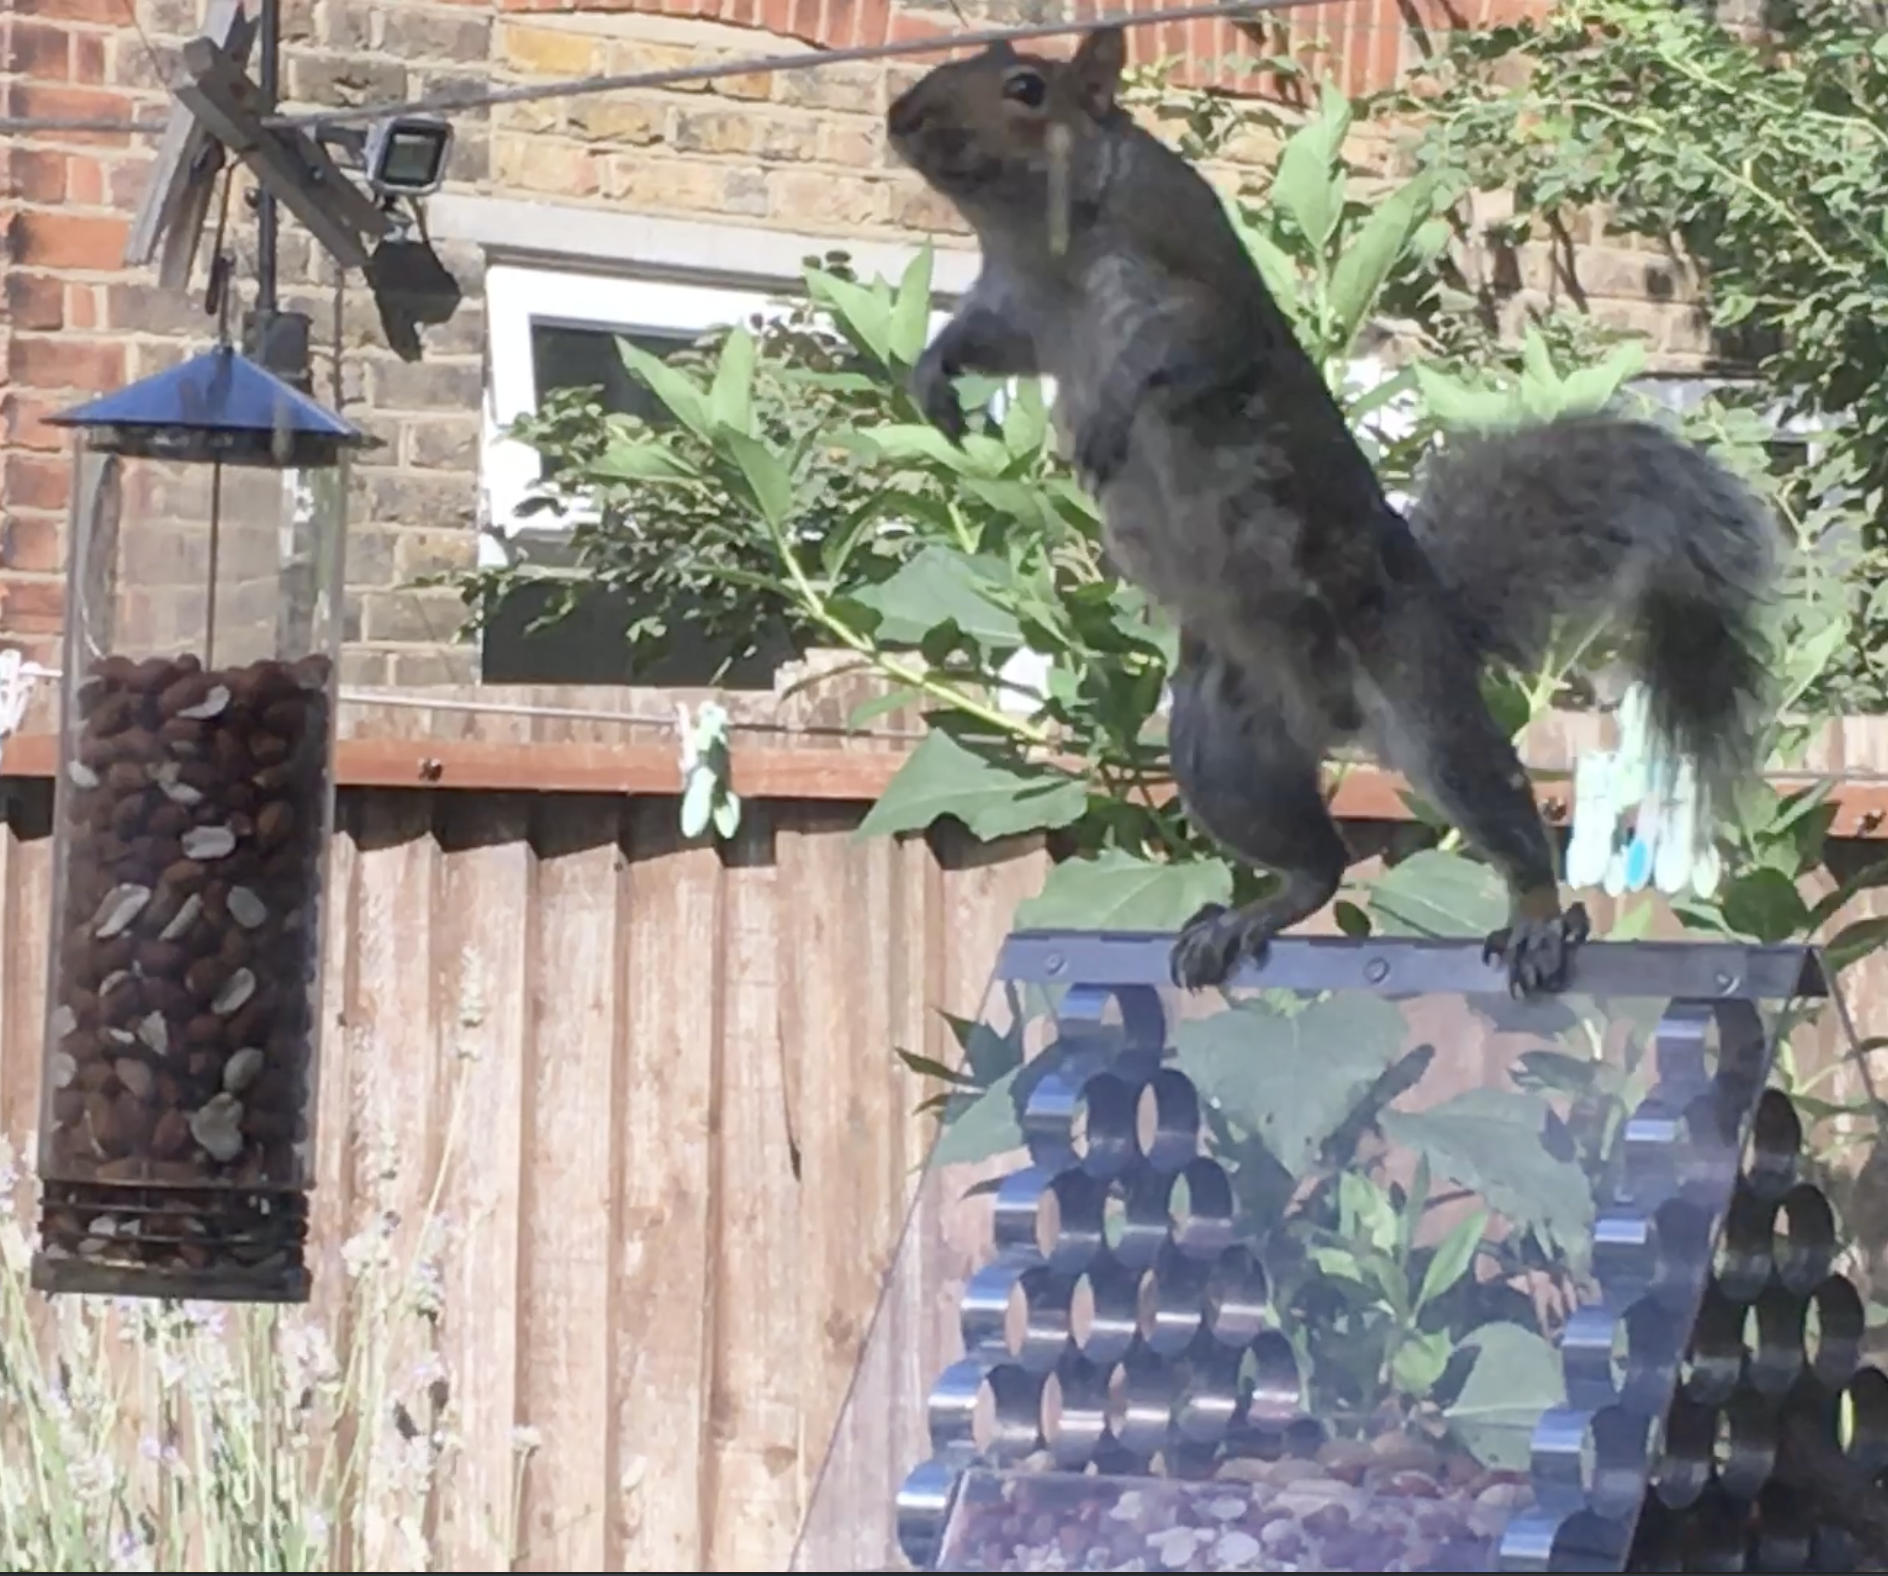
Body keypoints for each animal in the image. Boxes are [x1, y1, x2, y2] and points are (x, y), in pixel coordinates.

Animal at [885, 25, 1778, 1001]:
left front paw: (1114, 416)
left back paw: (1541, 923)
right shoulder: (1017, 308)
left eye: (1025, 87)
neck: (1048, 244)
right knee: (1322, 863)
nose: (903, 117)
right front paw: (933, 379)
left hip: (1421, 702)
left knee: (1498, 812)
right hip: (1220, 748)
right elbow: (980, 340)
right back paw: (1245, 918)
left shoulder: (1196, 291)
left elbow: (1178, 354)